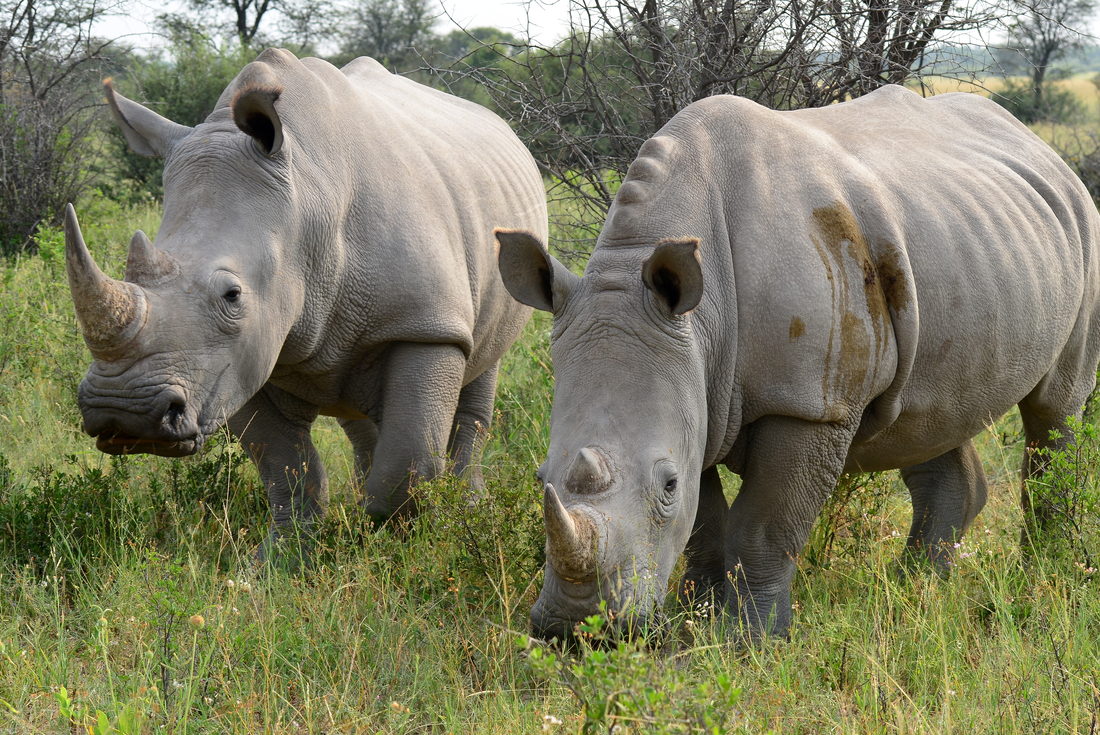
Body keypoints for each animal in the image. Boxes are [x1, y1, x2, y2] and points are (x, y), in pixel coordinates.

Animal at [66, 48, 547, 558]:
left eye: (232, 295)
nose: (123, 412)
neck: (306, 209)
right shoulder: (236, 362)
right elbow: (285, 466)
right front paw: (280, 561)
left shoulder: (426, 325)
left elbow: (409, 462)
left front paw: (394, 547)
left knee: (481, 371)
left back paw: (466, 509)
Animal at [497, 84, 1100, 638]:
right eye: (540, 476)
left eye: (666, 484)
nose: (574, 630)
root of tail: (1041, 148)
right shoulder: (696, 386)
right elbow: (705, 522)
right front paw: (695, 624)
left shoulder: (810, 404)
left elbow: (763, 527)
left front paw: (749, 641)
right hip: (961, 245)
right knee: (926, 415)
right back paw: (914, 592)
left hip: (1079, 227)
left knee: (1054, 410)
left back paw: (1042, 576)